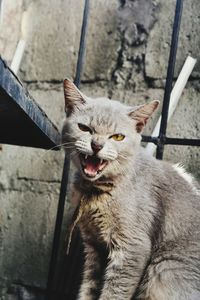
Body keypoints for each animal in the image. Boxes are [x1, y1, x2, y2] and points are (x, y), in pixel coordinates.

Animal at [62, 79, 200, 300]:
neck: (95, 192)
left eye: (118, 137)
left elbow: (114, 292)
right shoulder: (94, 246)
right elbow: (89, 287)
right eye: (84, 128)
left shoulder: (132, 247)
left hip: (164, 270)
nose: (97, 145)